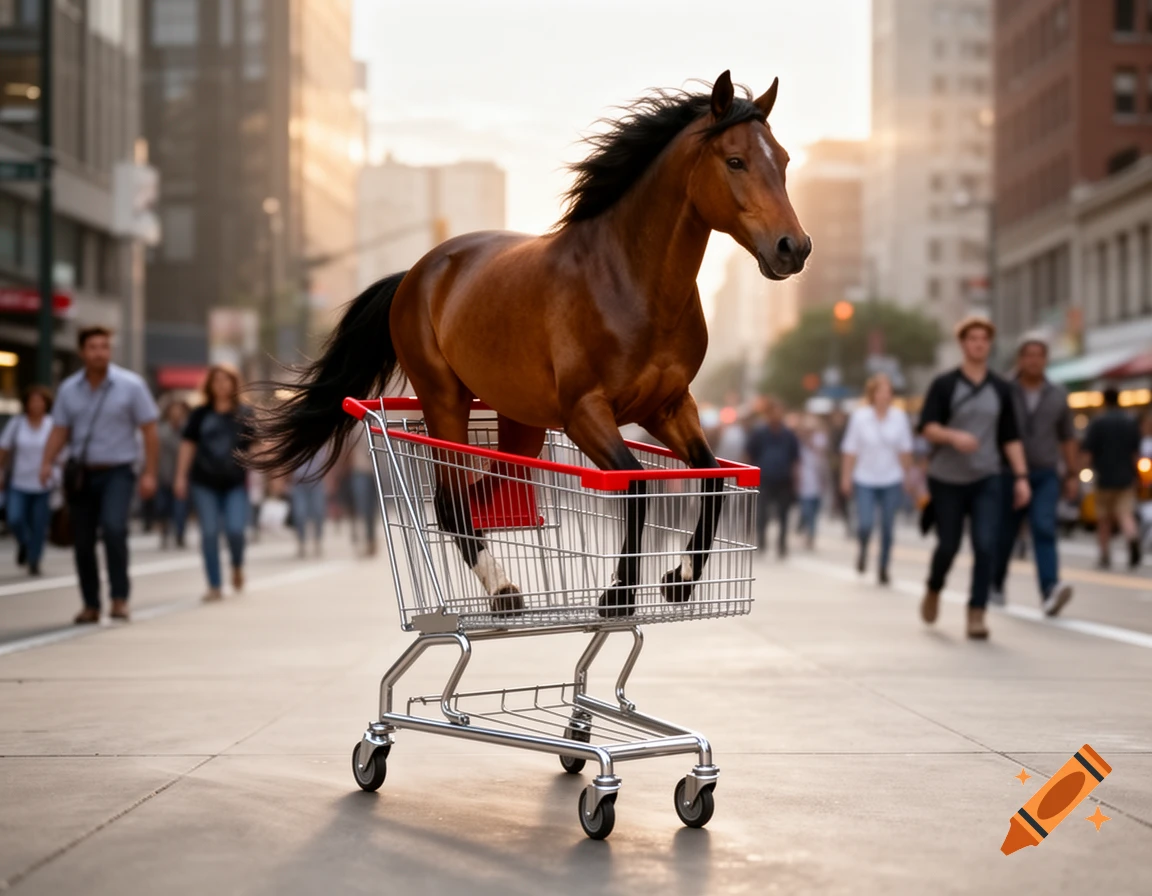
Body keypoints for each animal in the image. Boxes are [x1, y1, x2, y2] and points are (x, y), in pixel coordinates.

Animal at [252, 71, 810, 618]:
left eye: (783, 160)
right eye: (735, 160)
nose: (793, 248)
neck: (628, 281)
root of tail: (416, 272)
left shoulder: (669, 406)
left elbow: (712, 476)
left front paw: (680, 579)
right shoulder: (585, 413)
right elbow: (636, 483)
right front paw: (618, 594)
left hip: (522, 424)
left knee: (478, 496)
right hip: (444, 398)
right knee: (451, 502)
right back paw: (502, 590)